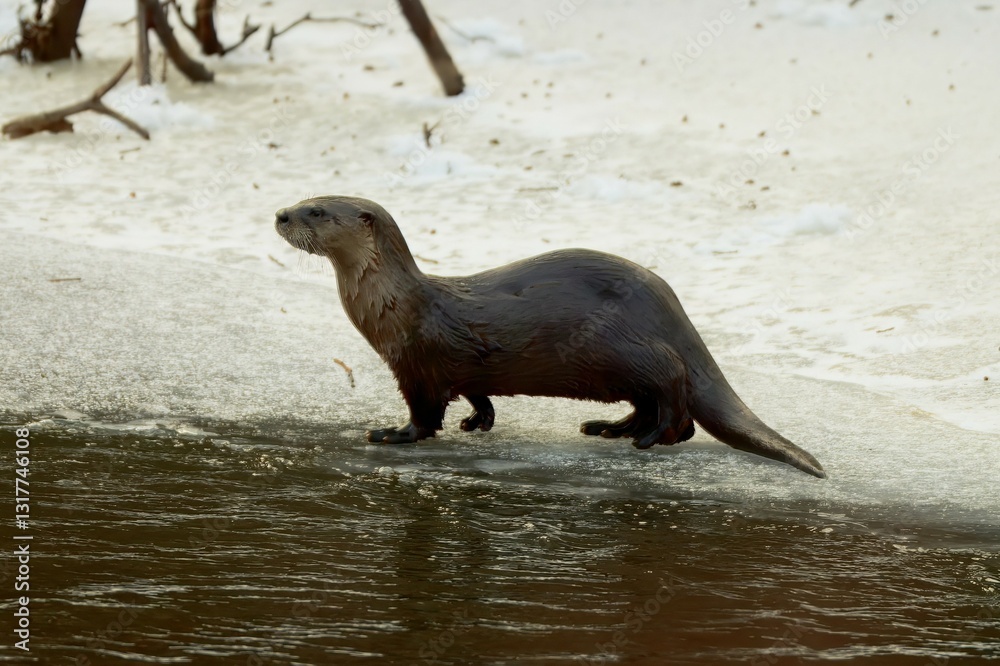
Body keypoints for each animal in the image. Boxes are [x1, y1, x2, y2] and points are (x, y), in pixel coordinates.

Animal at [275, 196, 826, 478]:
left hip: (624, 345)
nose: (280, 214)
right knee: (652, 398)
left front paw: (393, 433)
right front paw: (479, 421)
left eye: (317, 211)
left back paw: (649, 438)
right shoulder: (461, 365)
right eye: (302, 201)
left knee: (675, 393)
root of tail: (670, 305)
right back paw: (609, 428)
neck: (394, 305)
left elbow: (424, 412)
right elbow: (477, 390)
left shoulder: (416, 363)